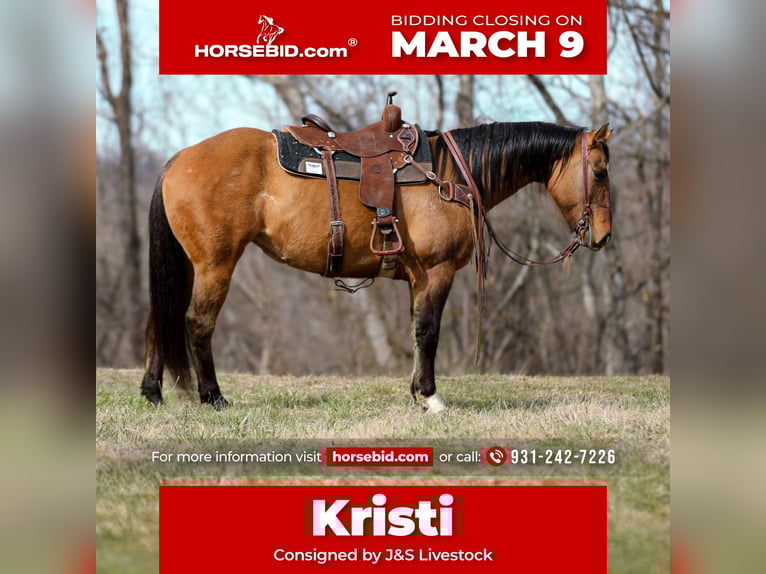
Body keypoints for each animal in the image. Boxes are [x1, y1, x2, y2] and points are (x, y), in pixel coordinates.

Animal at [140, 119, 613, 411]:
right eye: (600, 171)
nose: (604, 236)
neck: (451, 176)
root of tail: (179, 159)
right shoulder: (437, 271)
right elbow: (429, 332)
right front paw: (431, 398)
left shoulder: (417, 278)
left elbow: (416, 331)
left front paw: (415, 392)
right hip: (215, 264)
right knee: (198, 323)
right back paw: (213, 396)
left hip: (188, 265)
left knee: (159, 320)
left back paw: (152, 392)